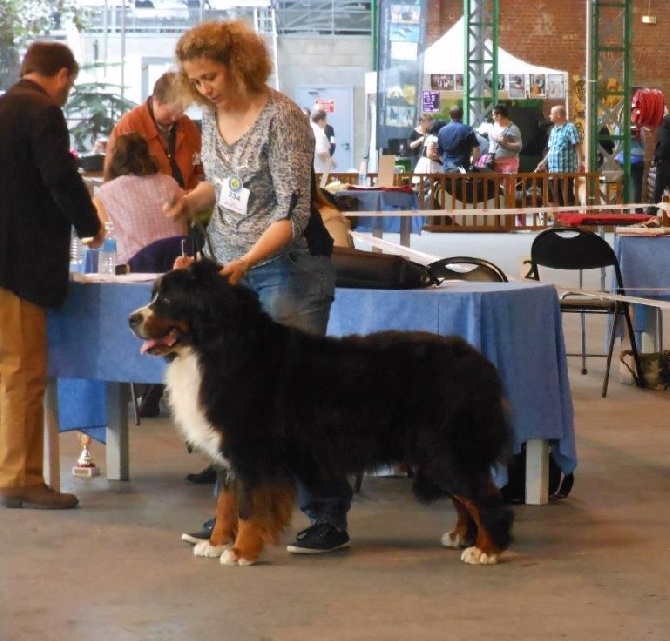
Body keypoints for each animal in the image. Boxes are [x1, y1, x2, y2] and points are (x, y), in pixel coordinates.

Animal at [130, 260, 516, 564]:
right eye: (153, 295)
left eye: (167, 300)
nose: (131, 318)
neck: (217, 347)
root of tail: (478, 361)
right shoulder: (228, 452)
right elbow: (226, 502)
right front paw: (215, 543)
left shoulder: (251, 451)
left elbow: (249, 506)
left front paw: (240, 552)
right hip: (434, 452)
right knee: (465, 497)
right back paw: (461, 536)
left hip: (443, 448)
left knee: (484, 497)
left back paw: (487, 549)